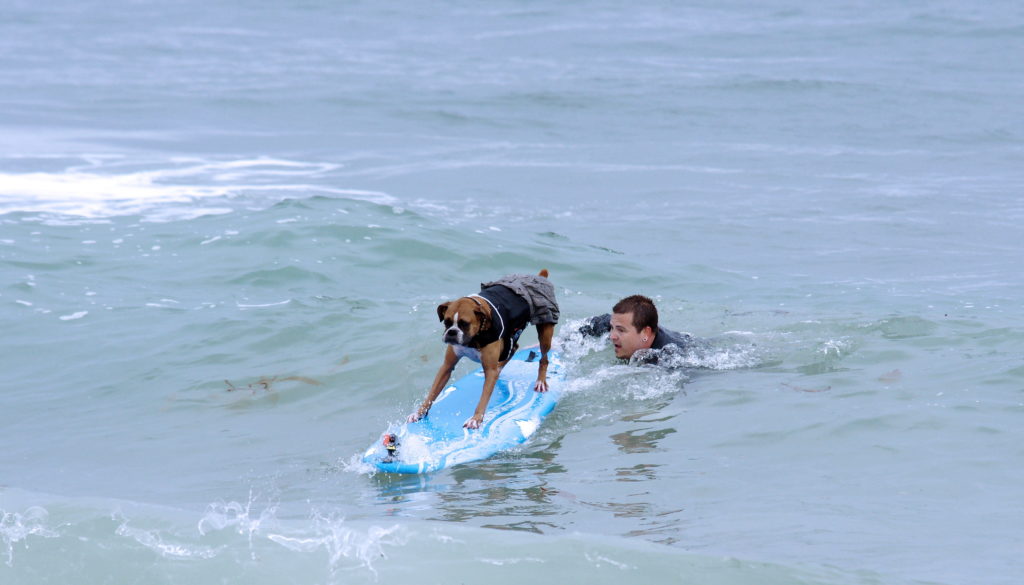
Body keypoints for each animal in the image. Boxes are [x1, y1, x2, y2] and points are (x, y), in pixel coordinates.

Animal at [407, 270, 561, 430]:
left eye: (464, 324)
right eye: (447, 322)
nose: (452, 332)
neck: (474, 337)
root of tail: (538, 276)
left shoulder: (489, 369)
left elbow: (483, 398)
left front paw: (476, 419)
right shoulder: (446, 367)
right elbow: (432, 393)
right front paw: (419, 413)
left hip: (545, 331)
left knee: (544, 358)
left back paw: (540, 381)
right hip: (509, 340)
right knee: (513, 350)